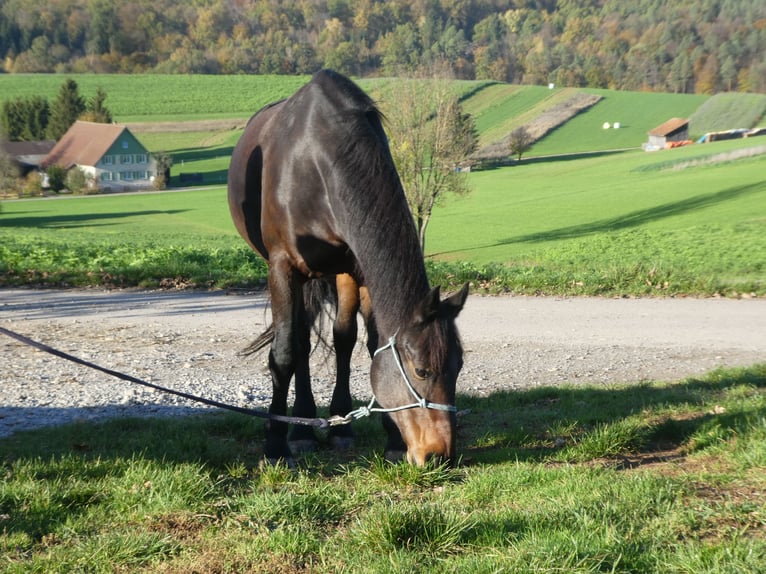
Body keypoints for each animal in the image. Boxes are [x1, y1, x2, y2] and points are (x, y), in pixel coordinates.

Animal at [226, 71, 468, 468]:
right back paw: (302, 427)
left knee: (340, 338)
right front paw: (275, 445)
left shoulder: (359, 270)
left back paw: (336, 423)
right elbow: (284, 353)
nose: (439, 454)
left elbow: (367, 343)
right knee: (300, 339)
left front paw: (392, 440)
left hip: (337, 273)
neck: (317, 158)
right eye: (421, 370)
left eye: (459, 366)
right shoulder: (282, 266)